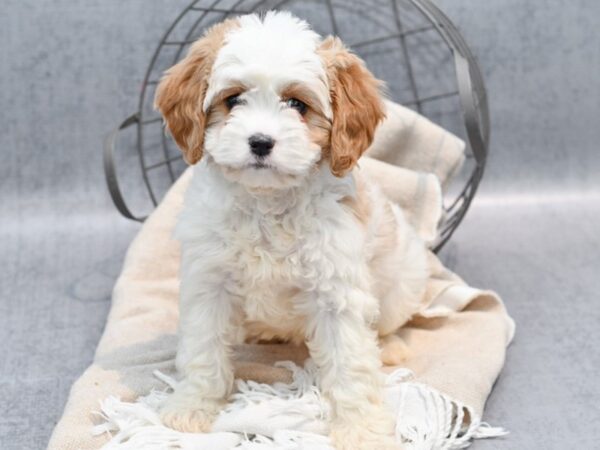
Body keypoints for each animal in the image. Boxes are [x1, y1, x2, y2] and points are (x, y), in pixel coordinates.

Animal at [152, 11, 428, 450]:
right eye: (233, 99)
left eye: (297, 104)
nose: (260, 142)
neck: (267, 203)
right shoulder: (209, 284)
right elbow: (202, 350)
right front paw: (191, 407)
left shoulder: (338, 295)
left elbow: (351, 366)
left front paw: (362, 430)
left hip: (404, 282)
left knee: (389, 323)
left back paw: (391, 346)